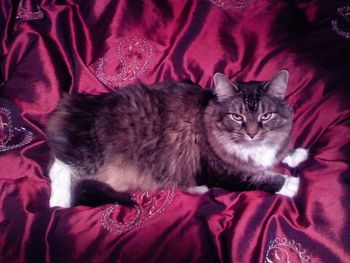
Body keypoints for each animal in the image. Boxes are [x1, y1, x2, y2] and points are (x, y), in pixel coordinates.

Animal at [45, 70, 306, 208]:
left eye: (265, 115)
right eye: (237, 116)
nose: (252, 133)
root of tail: (75, 103)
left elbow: (282, 153)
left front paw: (297, 155)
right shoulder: (219, 172)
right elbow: (261, 179)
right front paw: (291, 184)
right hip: (91, 154)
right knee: (59, 167)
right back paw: (59, 202)